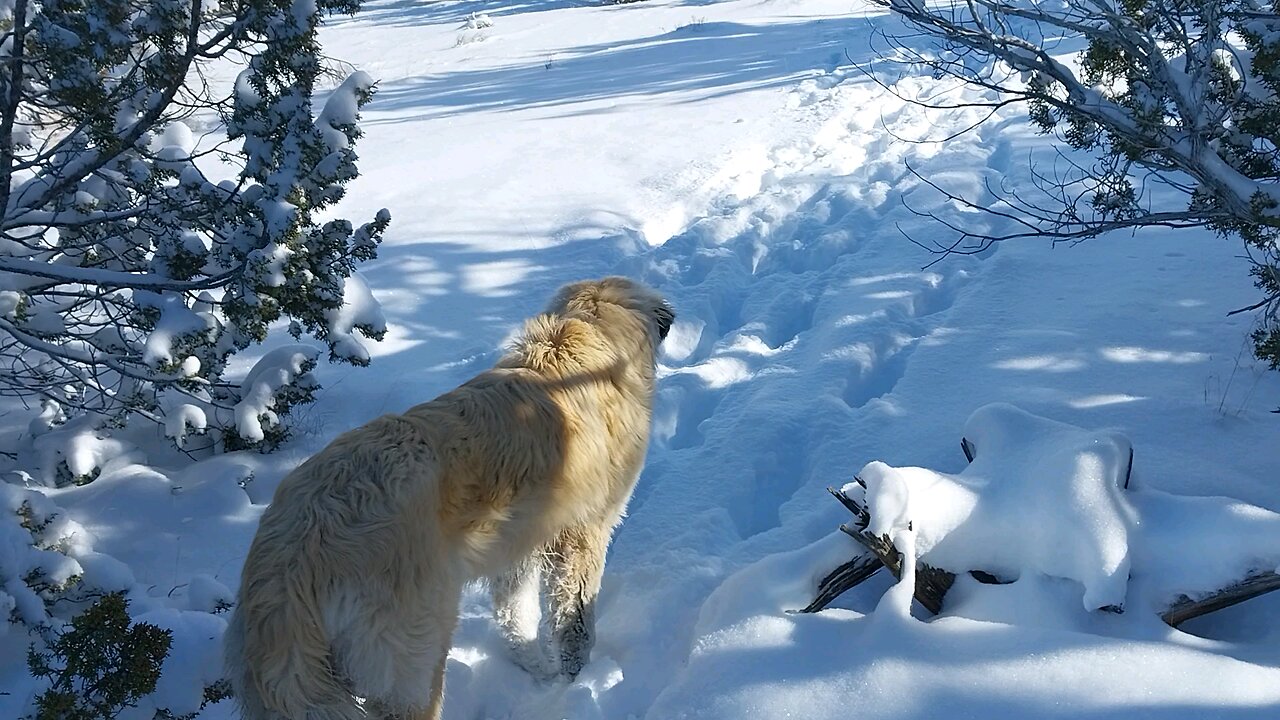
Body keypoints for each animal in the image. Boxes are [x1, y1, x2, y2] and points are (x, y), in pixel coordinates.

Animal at [225, 278, 675, 717]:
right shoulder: (584, 534)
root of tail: (293, 553)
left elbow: (516, 618)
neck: (584, 341)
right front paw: (576, 680)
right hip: (416, 653)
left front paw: (537, 668)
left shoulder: (517, 544)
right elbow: (575, 623)